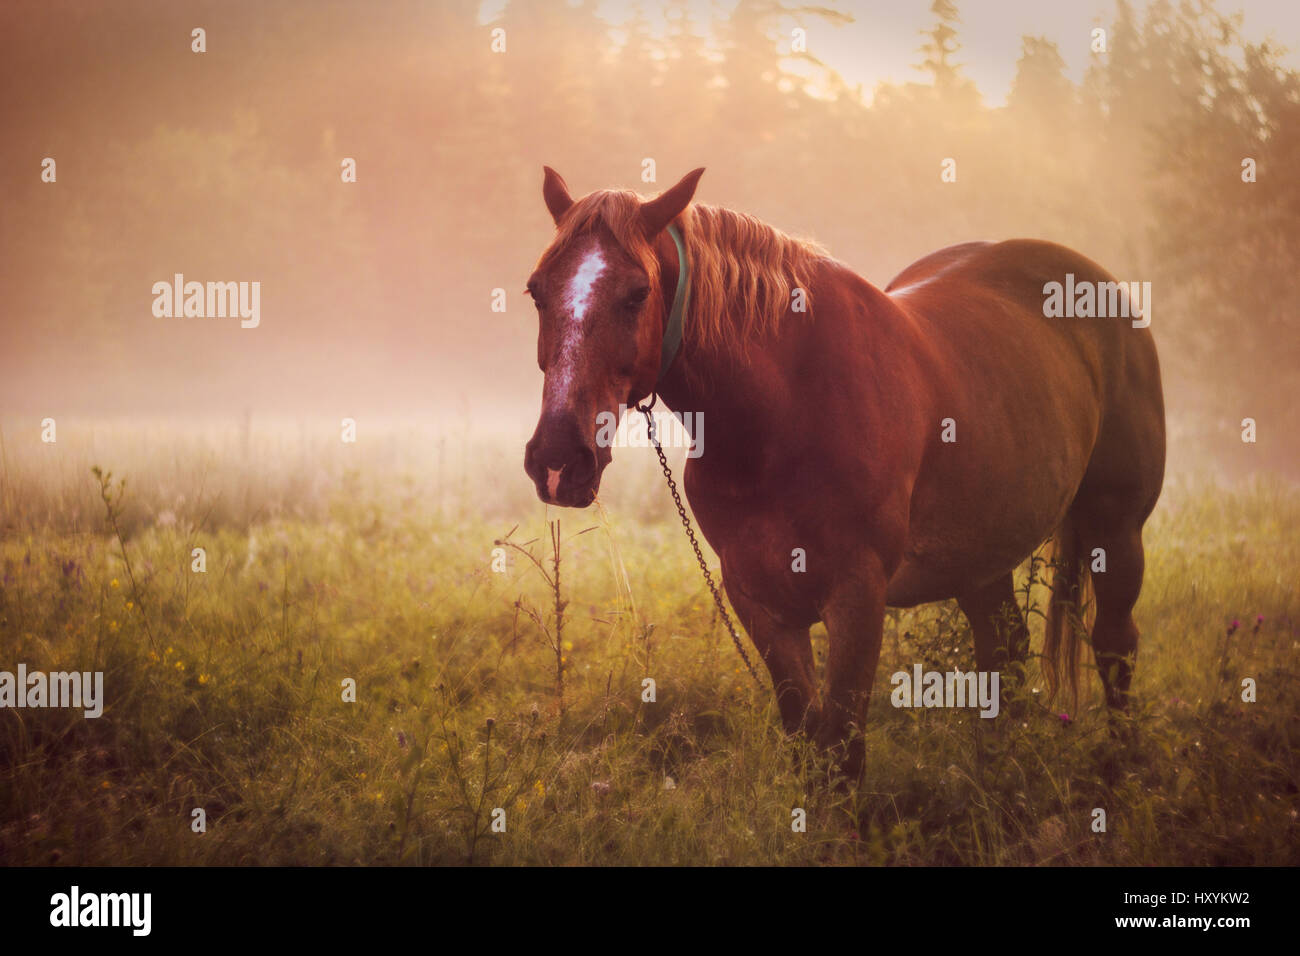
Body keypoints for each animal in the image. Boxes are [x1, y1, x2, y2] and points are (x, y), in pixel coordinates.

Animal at [520, 166, 1170, 780]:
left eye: (636, 294)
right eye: (535, 292)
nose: (558, 460)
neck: (783, 414)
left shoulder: (857, 598)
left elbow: (842, 751)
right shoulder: (761, 603)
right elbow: (807, 740)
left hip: (1116, 532)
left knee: (1115, 647)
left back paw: (1119, 767)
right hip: (982, 554)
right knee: (1003, 650)